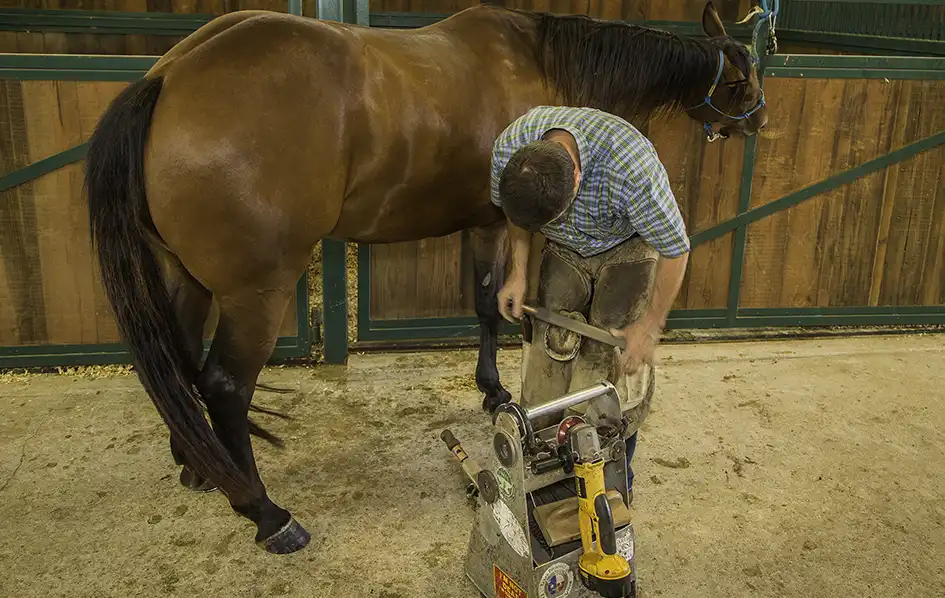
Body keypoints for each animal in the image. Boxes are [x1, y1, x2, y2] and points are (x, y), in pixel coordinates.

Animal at [84, 0, 768, 554]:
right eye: (740, 78)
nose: (758, 120)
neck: (533, 60)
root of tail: (168, 77)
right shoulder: (495, 220)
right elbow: (491, 304)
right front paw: (494, 390)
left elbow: (488, 304)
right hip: (257, 294)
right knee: (224, 387)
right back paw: (266, 513)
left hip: (187, 279)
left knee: (181, 363)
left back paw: (200, 464)